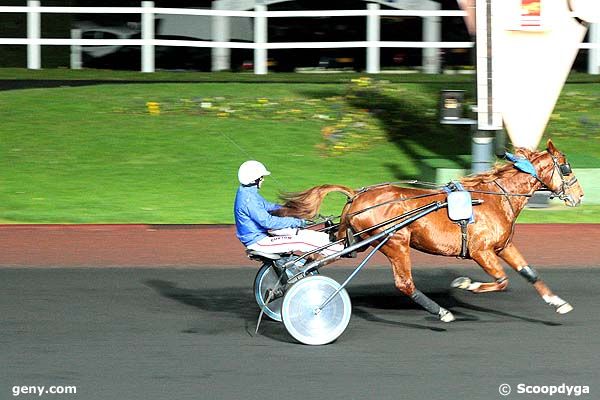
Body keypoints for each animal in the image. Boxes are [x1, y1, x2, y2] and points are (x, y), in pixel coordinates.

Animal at [276, 141, 580, 322]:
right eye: (565, 167)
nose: (580, 195)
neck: (494, 197)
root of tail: (357, 194)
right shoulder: (480, 251)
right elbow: (502, 280)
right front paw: (466, 284)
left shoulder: (503, 246)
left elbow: (530, 273)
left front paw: (558, 302)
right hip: (395, 241)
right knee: (404, 283)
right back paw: (441, 311)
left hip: (357, 239)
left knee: (314, 258)